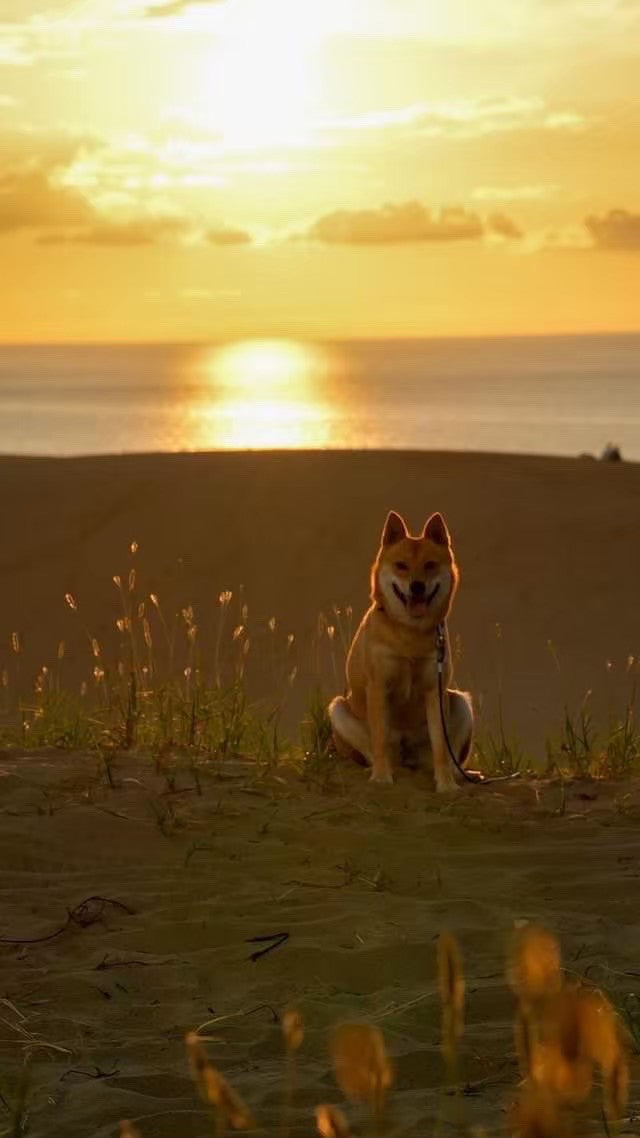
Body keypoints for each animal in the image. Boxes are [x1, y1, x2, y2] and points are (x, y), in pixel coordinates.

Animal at [327, 509, 469, 792]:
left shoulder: (434, 690)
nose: (417, 586)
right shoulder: (378, 685)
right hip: (338, 709)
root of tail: (408, 755)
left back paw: (456, 774)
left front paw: (446, 784)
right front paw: (382, 777)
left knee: (447, 754)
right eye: (401, 565)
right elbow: (380, 739)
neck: (410, 634)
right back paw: (379, 768)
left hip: (460, 702)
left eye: (430, 565)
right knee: (375, 749)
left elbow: (441, 746)